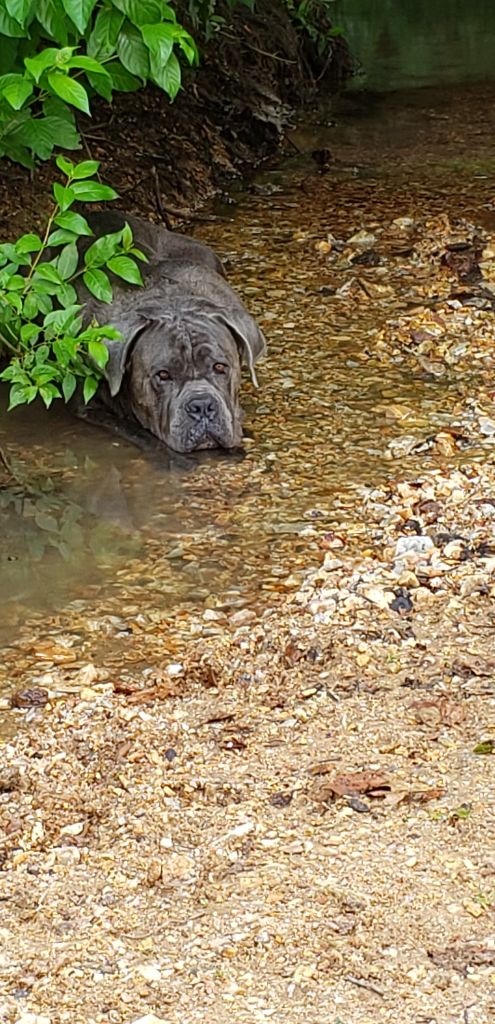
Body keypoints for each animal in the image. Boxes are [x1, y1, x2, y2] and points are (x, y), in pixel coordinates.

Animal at [78, 210, 266, 452]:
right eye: (163, 375)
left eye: (220, 367)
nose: (201, 405)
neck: (171, 301)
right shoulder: (89, 408)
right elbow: (142, 436)